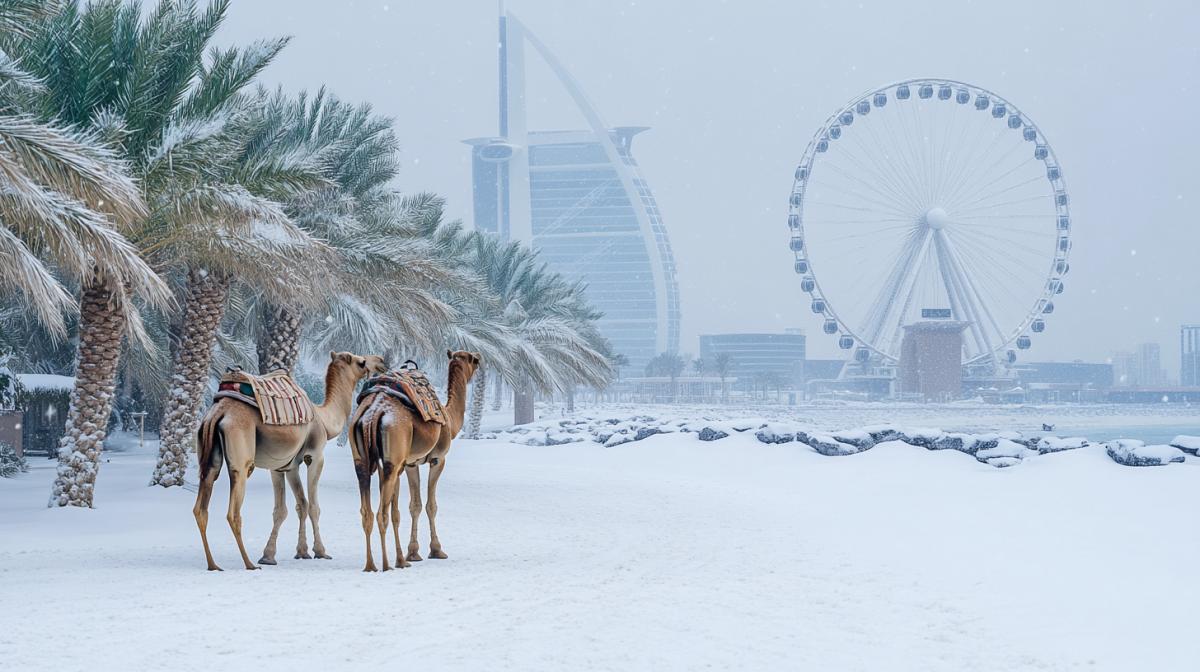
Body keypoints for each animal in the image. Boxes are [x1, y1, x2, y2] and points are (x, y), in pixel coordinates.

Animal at [193, 351, 387, 571]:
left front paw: (285, 554)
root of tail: (219, 411)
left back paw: (213, 564)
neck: (324, 420)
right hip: (240, 454)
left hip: (208, 454)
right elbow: (313, 506)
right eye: (361, 362)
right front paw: (320, 551)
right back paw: (249, 563)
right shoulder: (315, 456)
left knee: (201, 506)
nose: (381, 361)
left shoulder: (285, 466)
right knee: (233, 511)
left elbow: (294, 506)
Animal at [349, 350, 480, 572]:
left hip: (363, 461)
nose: (479, 359)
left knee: (367, 511)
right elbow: (430, 505)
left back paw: (373, 564)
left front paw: (411, 553)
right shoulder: (437, 459)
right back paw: (386, 565)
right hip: (394, 457)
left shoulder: (410, 463)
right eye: (473, 360)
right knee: (381, 513)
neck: (449, 419)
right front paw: (436, 550)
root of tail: (372, 414)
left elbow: (412, 506)